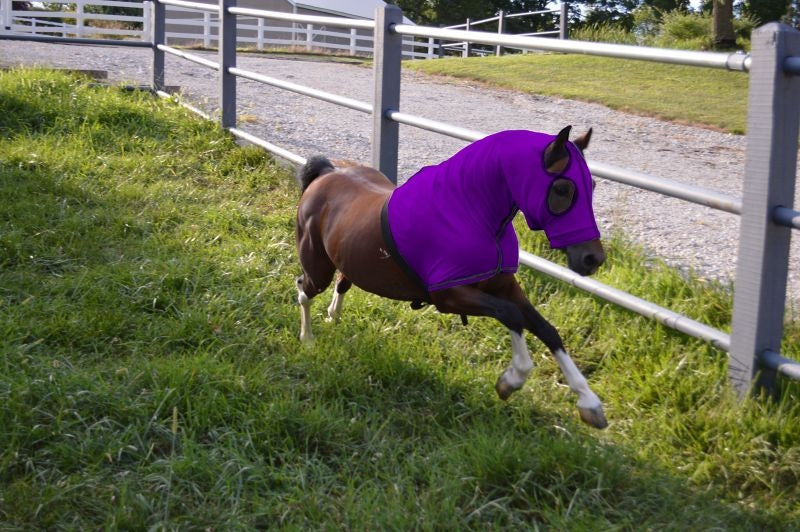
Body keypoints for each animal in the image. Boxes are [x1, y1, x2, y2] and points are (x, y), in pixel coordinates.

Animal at [295, 126, 608, 429]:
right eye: (563, 188)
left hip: (348, 261)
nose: (593, 259)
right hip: (318, 269)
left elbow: (546, 329)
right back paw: (307, 340)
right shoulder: (451, 296)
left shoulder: (505, 287)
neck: (475, 219)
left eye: (592, 186)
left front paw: (590, 404)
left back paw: (333, 316)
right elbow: (511, 315)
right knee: (303, 290)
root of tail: (326, 172)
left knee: (342, 283)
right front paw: (511, 380)